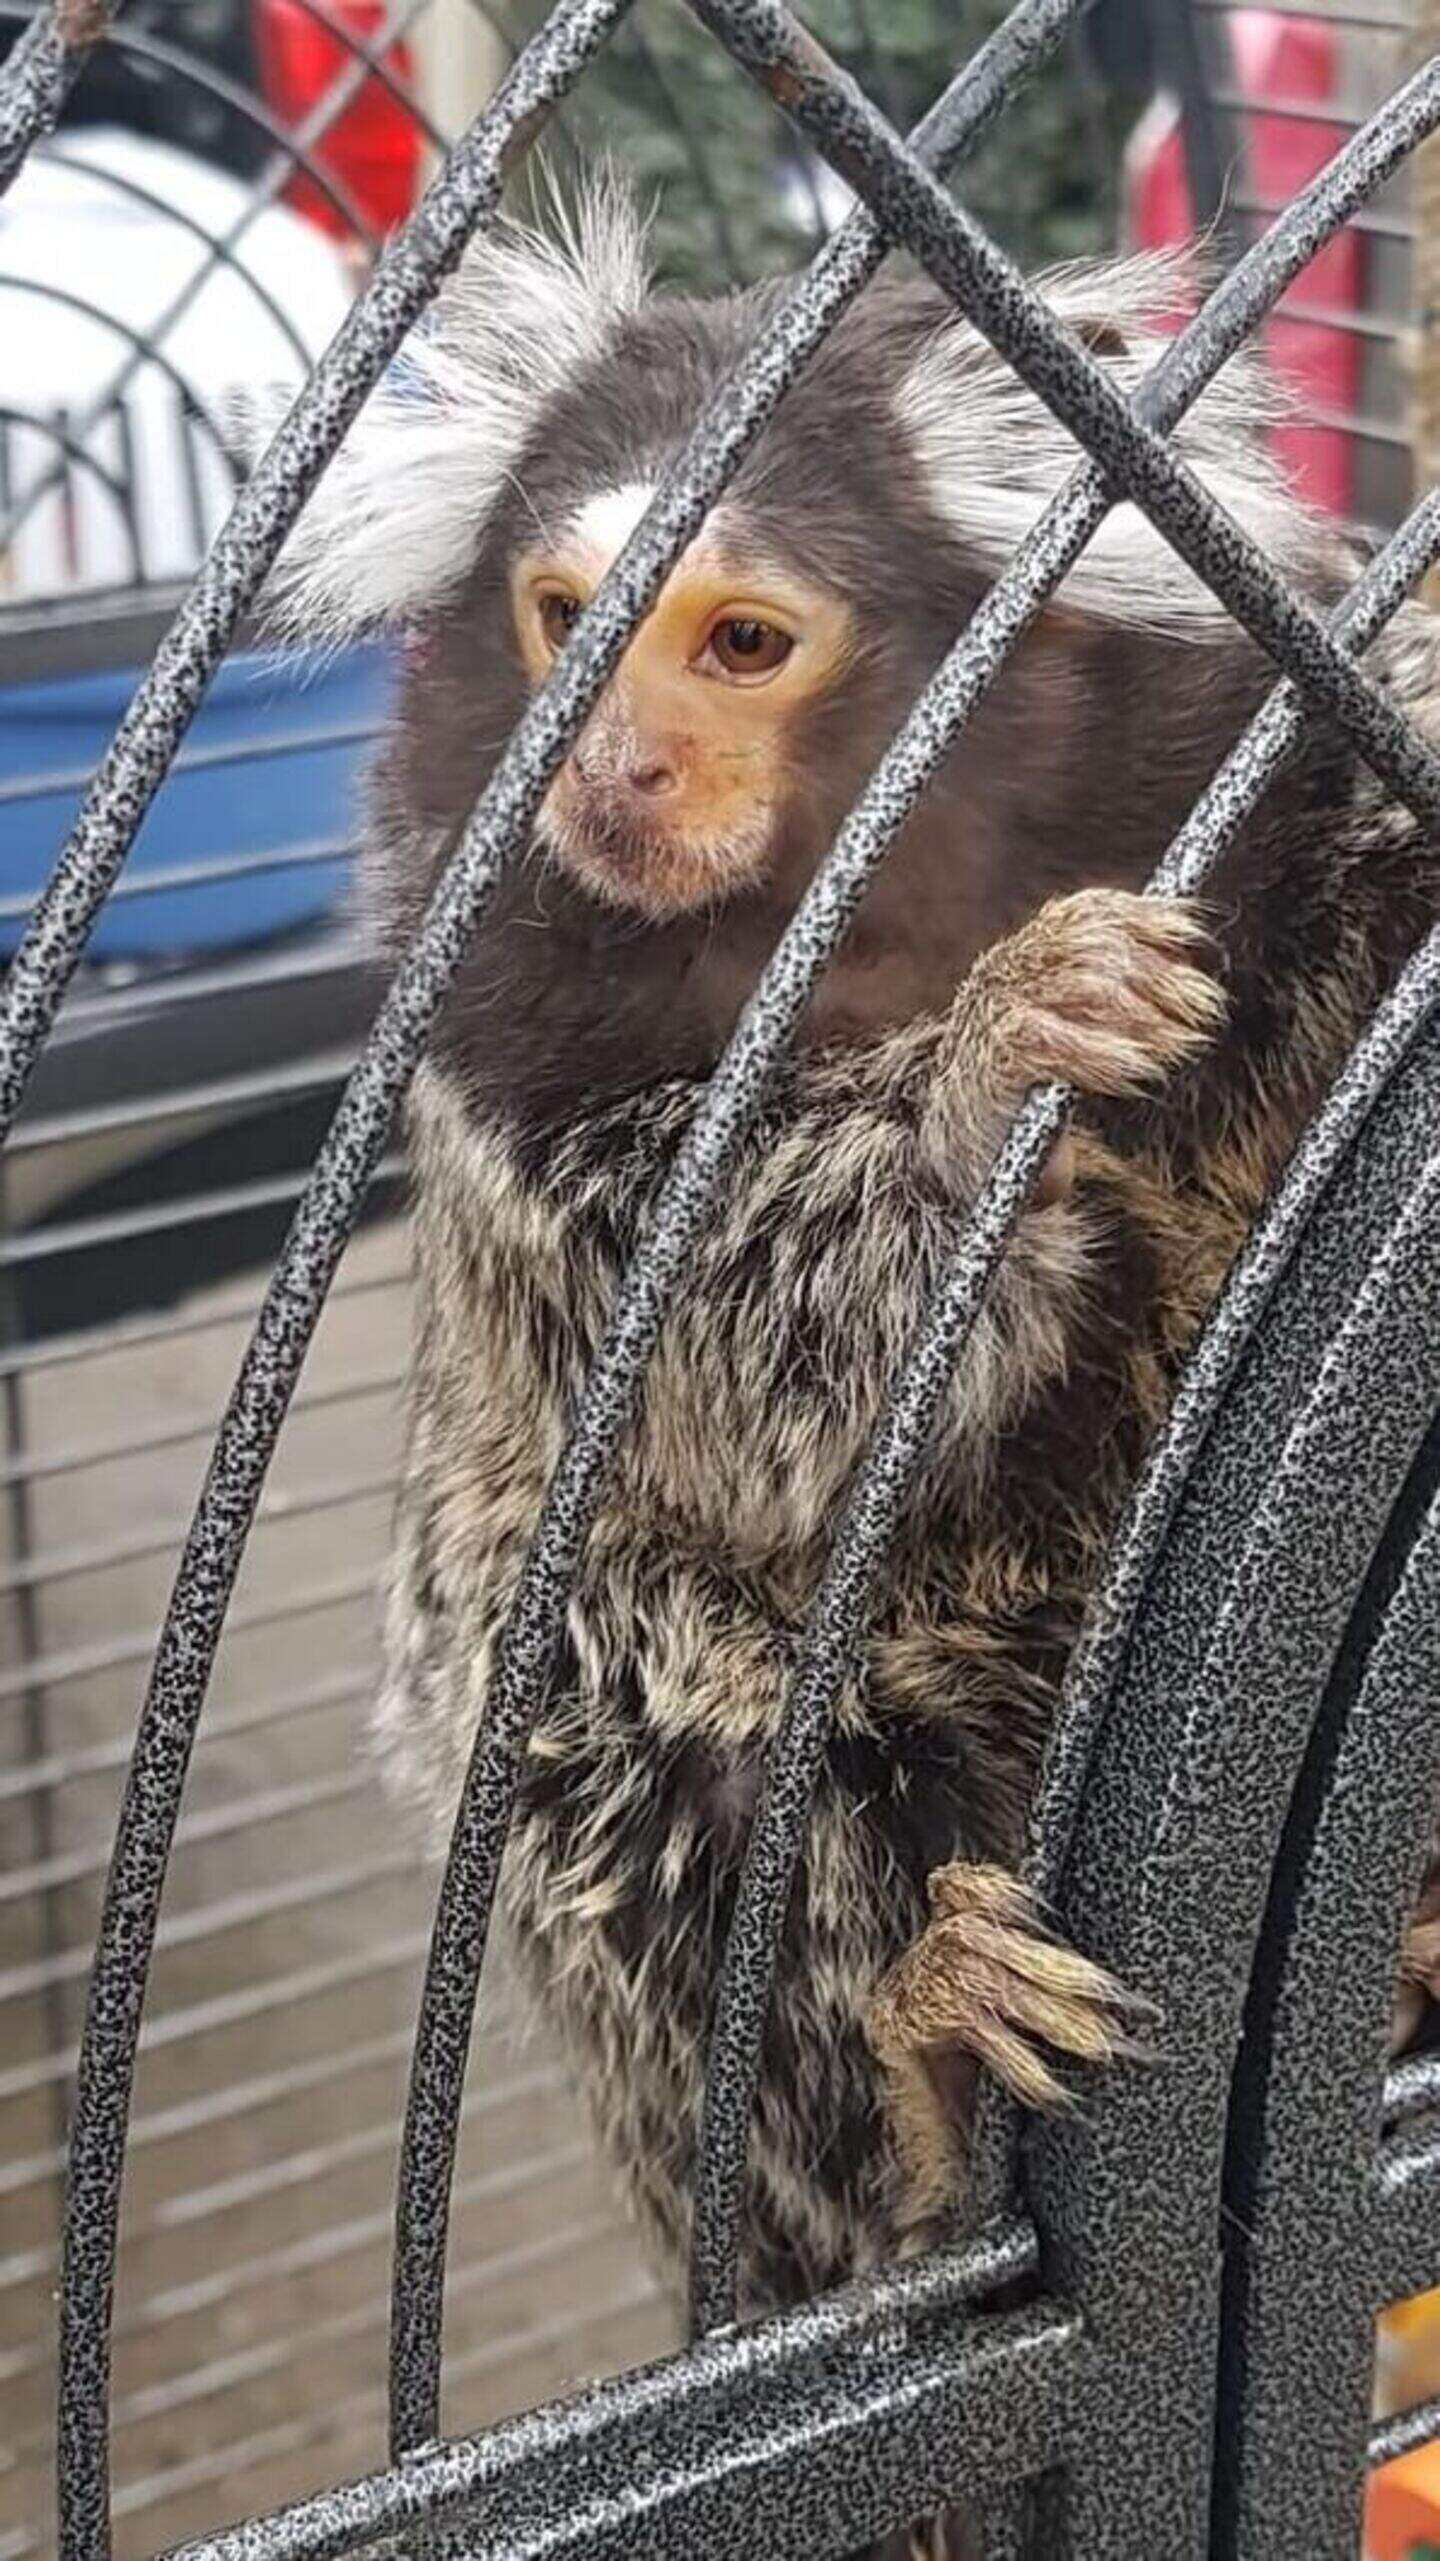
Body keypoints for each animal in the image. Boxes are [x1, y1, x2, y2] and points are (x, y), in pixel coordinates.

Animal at [259, 177, 1440, 2551]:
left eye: (737, 640)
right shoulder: (502, 1050)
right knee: (610, 1691)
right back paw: (933, 2090)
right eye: (566, 619)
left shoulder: (1252, 806)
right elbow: (727, 1360)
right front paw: (994, 1066)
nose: (607, 767)